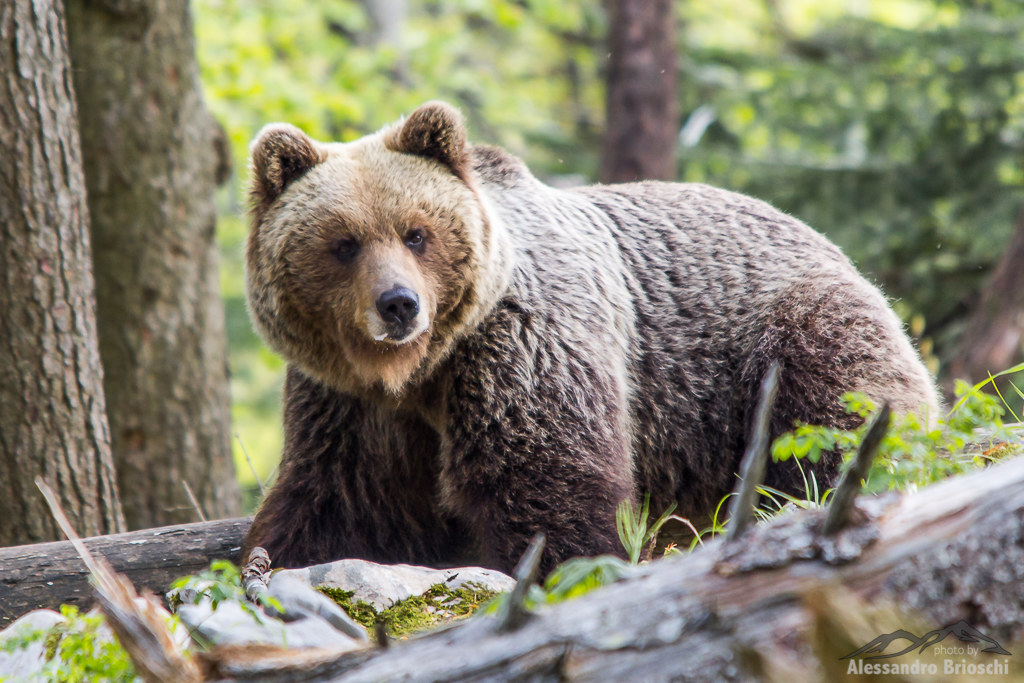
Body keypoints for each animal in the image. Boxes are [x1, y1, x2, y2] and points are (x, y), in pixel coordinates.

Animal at [243, 101, 939, 575]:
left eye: (417, 233)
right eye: (344, 243)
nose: (398, 304)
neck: (422, 371)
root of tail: (825, 239)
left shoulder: (519, 348)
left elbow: (544, 478)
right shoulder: (351, 404)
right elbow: (340, 498)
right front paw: (274, 557)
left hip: (783, 336)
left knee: (837, 420)